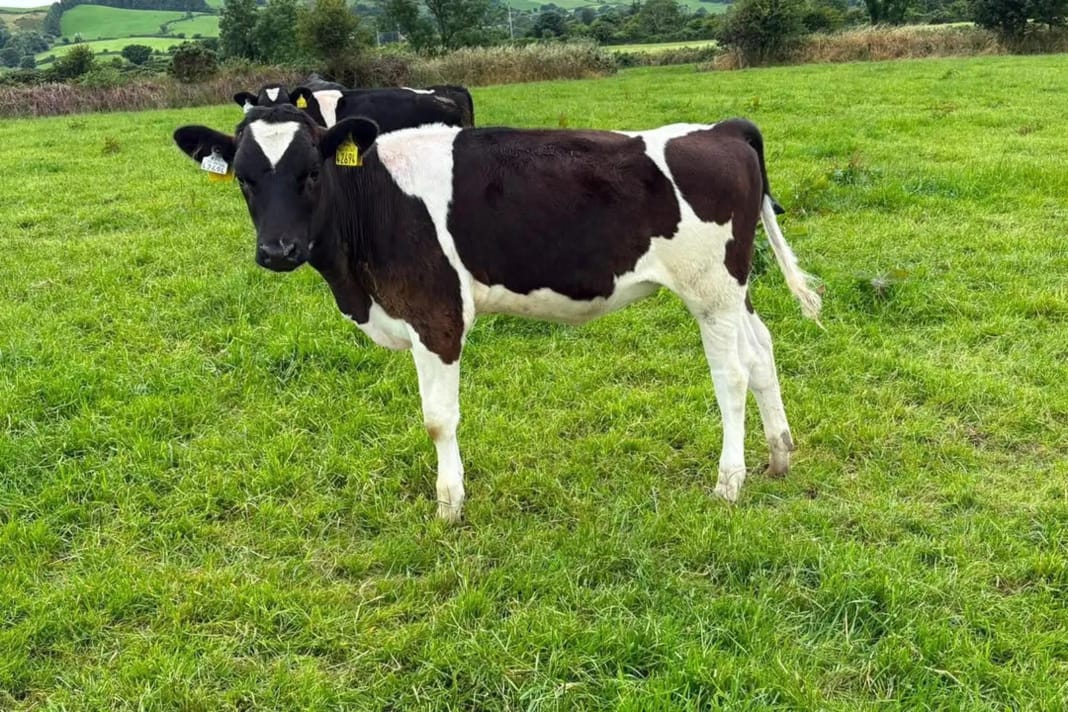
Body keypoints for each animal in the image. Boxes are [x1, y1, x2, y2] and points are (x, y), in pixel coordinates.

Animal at [172, 106, 821, 522]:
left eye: (310, 172)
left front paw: (449, 506)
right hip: (735, 287)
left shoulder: (436, 315)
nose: (277, 250)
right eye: (245, 180)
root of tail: (722, 128)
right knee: (762, 352)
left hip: (709, 288)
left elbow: (438, 420)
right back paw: (779, 456)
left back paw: (728, 483)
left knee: (731, 375)